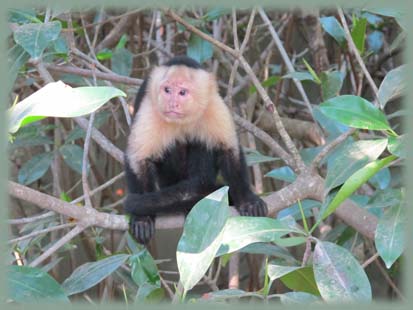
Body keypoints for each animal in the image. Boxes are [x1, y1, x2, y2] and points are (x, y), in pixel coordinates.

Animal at [122, 56, 268, 245]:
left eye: (182, 93)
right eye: (167, 90)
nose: (172, 103)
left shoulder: (213, 106)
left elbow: (228, 151)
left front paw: (247, 199)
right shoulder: (150, 110)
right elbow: (138, 159)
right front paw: (142, 218)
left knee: (202, 143)